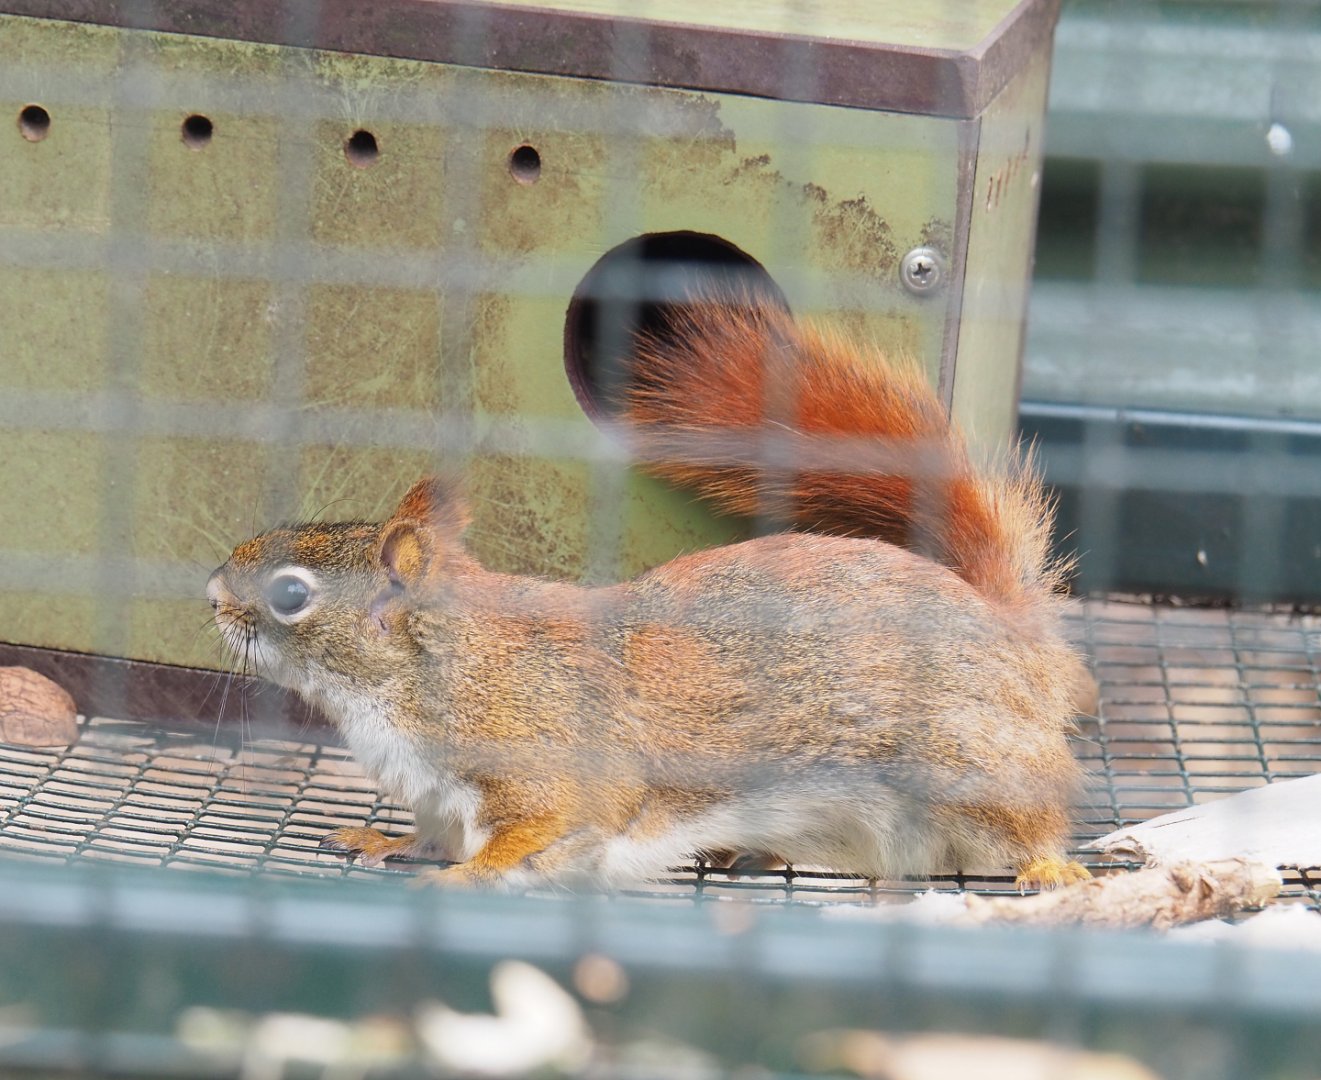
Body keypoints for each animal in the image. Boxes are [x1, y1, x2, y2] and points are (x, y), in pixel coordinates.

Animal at [207, 300, 1093, 891]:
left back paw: (1054, 871)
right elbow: (431, 836)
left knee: (1036, 822)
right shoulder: (438, 802)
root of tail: (1007, 632)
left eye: (291, 593)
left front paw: (458, 880)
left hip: (974, 769)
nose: (212, 591)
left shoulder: (540, 763)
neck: (431, 670)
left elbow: (539, 830)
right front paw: (385, 843)